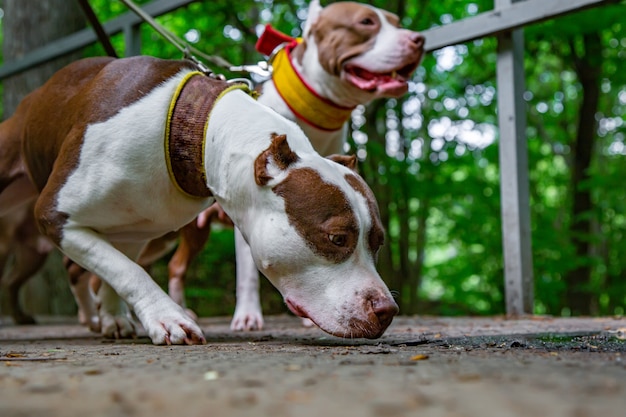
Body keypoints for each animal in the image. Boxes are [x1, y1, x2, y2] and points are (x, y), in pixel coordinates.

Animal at [0, 55, 398, 344]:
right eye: (337, 238)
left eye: (378, 242)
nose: (388, 311)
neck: (196, 130)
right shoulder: (54, 215)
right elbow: (130, 271)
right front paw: (167, 317)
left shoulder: (135, 228)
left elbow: (117, 268)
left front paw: (116, 315)